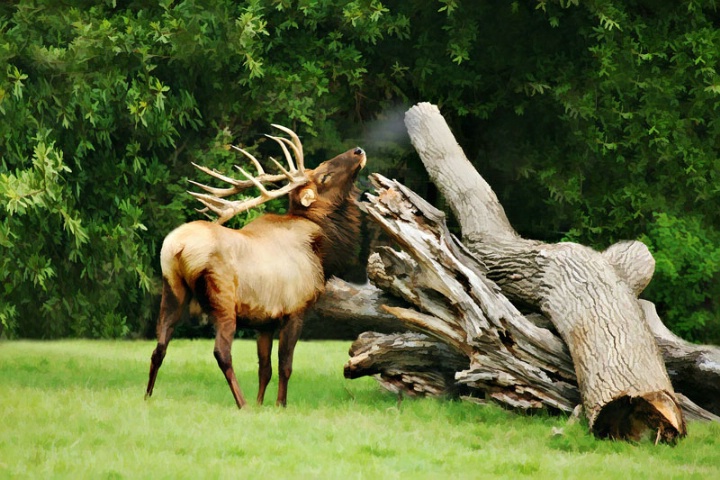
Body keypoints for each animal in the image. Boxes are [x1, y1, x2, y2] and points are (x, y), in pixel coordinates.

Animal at [148, 124, 372, 408]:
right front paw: (280, 405)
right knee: (221, 352)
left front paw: (261, 404)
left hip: (172, 290)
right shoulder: (295, 309)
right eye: (324, 175)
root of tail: (178, 248)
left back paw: (147, 396)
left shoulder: (265, 321)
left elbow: (264, 368)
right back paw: (241, 403)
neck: (322, 249)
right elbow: (285, 365)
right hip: (222, 299)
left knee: (159, 347)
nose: (359, 150)